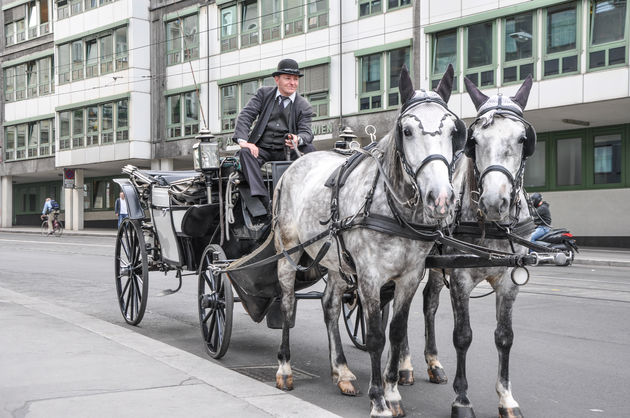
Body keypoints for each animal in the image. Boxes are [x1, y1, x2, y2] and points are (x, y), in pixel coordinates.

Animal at [274, 65, 466, 418]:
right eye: (406, 130)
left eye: (452, 130)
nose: (441, 198)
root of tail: (295, 161)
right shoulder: (369, 276)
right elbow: (376, 336)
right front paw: (378, 400)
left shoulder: (409, 277)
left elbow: (396, 332)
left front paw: (392, 392)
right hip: (287, 253)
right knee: (287, 304)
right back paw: (284, 369)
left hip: (336, 262)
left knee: (330, 306)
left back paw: (342, 372)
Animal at [424, 75, 540, 418]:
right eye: (474, 140)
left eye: (522, 139)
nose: (492, 201)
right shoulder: (461, 279)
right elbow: (463, 336)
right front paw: (462, 400)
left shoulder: (509, 283)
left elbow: (504, 337)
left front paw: (507, 398)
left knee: (428, 303)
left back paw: (433, 363)